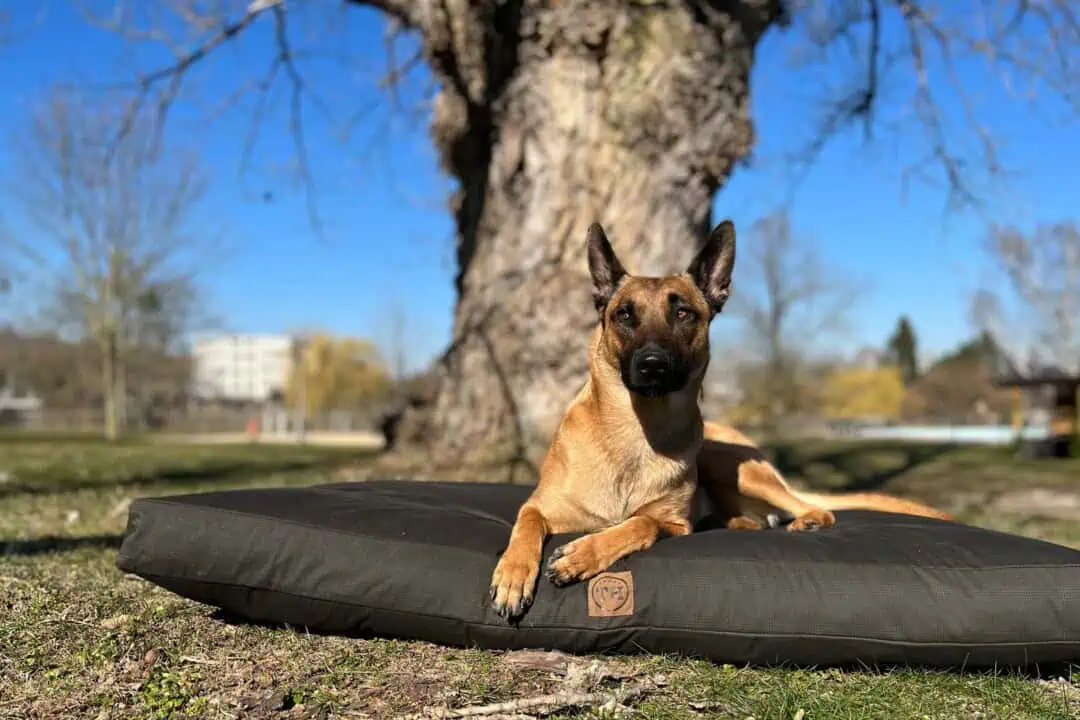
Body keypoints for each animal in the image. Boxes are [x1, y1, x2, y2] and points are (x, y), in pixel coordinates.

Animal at [486, 218, 950, 621]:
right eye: (624, 314)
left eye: (683, 313)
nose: (652, 366)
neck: (634, 433)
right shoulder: (539, 505)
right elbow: (526, 524)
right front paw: (513, 574)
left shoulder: (673, 523)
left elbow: (640, 522)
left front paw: (583, 554)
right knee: (751, 519)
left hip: (728, 464)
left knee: (813, 508)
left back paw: (806, 520)